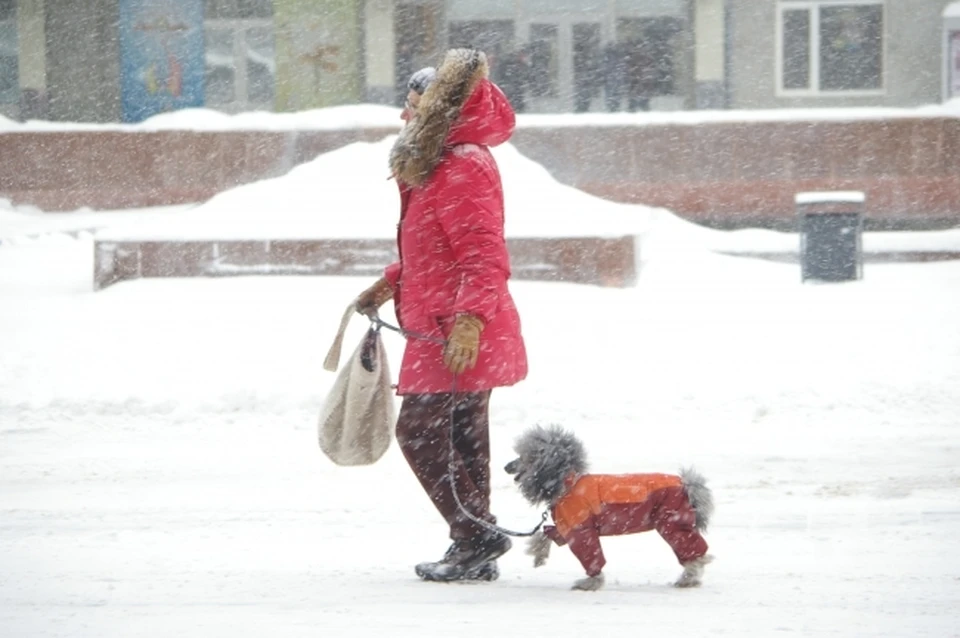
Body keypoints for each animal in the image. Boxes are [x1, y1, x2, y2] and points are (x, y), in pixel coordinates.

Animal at [502, 428, 712, 592]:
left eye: (524, 457)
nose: (506, 466)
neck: (567, 484)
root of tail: (687, 484)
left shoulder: (581, 529)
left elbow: (591, 556)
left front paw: (591, 582)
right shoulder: (568, 525)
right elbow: (548, 534)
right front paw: (538, 553)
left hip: (671, 522)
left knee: (694, 552)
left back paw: (689, 578)